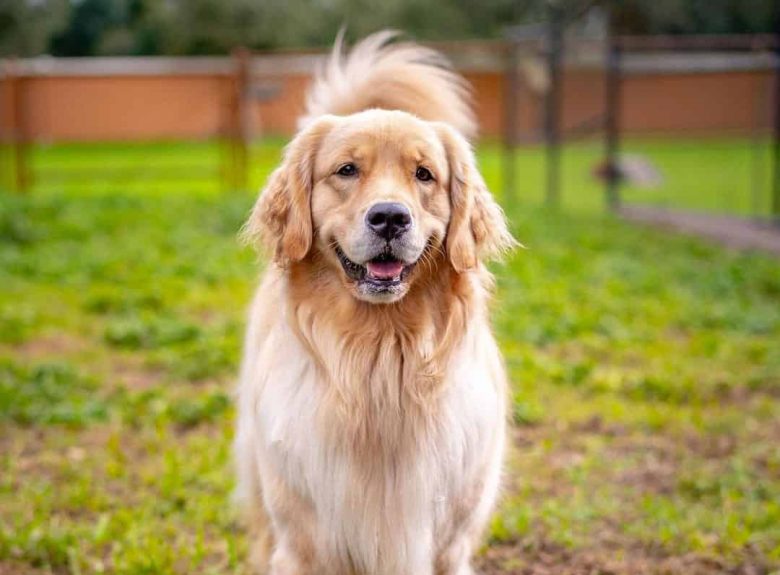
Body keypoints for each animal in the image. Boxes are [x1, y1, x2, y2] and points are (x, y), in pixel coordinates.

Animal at [236, 32, 516, 575]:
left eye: (424, 175)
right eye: (347, 170)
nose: (390, 217)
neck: (380, 362)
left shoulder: (449, 544)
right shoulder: (303, 542)